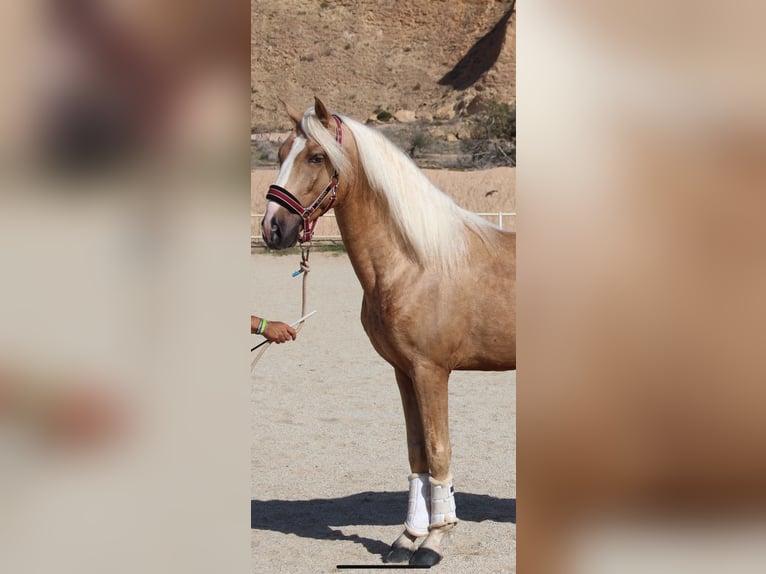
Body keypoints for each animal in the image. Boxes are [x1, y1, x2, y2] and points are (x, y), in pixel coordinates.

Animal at [260, 98, 520, 568]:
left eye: (316, 157)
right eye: (281, 152)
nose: (272, 228)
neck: (414, 262)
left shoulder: (431, 372)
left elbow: (438, 450)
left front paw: (435, 542)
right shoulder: (403, 372)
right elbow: (416, 453)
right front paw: (407, 539)